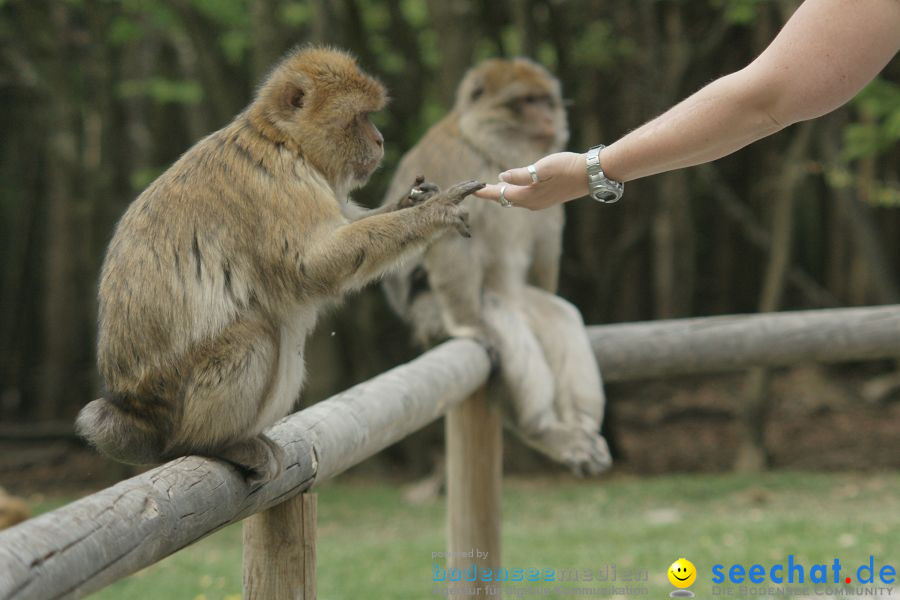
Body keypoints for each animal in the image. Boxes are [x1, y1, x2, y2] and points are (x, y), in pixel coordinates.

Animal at [75, 48, 486, 488]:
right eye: (360, 117)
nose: (379, 140)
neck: (284, 140)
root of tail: (134, 412)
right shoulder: (279, 184)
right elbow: (312, 266)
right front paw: (432, 212)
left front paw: (414, 200)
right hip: (178, 401)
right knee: (258, 334)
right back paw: (210, 444)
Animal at [380, 58, 612, 476]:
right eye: (527, 101)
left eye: (546, 100)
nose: (548, 117)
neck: (490, 148)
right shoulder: (456, 160)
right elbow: (446, 235)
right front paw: (468, 326)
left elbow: (544, 252)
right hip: (433, 312)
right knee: (505, 329)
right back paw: (548, 430)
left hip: (528, 304)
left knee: (561, 316)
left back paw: (581, 427)